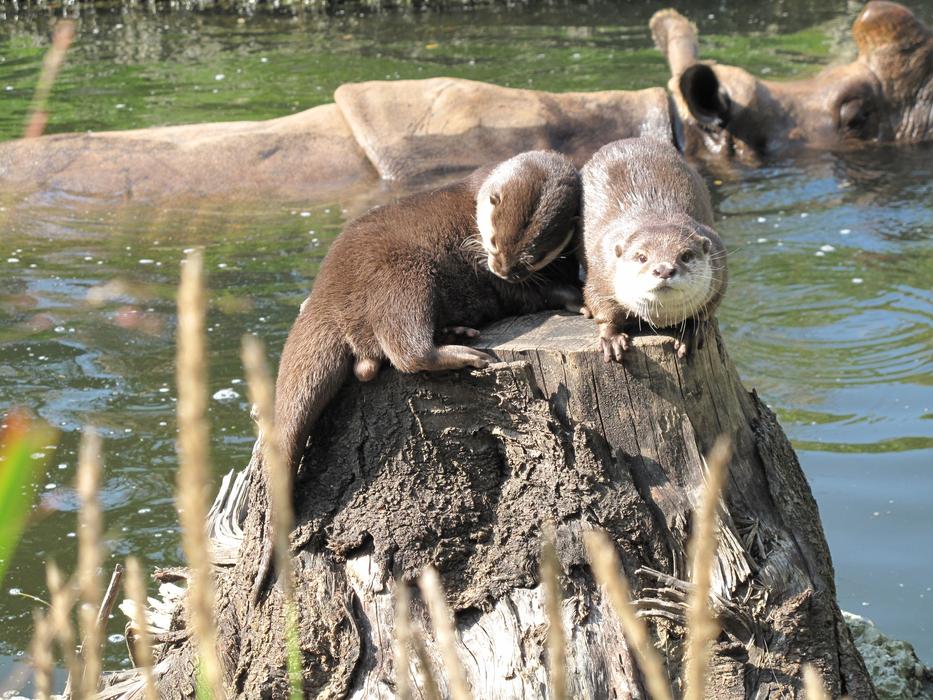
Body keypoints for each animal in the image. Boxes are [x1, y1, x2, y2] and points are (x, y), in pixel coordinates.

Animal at [275, 150, 582, 475]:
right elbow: (528, 295)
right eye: (493, 242)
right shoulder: (487, 271)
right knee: (405, 349)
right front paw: (573, 298)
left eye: (536, 256)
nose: (504, 270)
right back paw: (465, 354)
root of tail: (326, 292)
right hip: (403, 275)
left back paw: (456, 333)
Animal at [581, 138, 727, 360]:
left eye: (685, 256)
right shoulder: (601, 266)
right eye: (642, 257)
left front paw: (691, 331)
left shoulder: (720, 266)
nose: (664, 270)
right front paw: (611, 338)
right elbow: (602, 308)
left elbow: (705, 311)